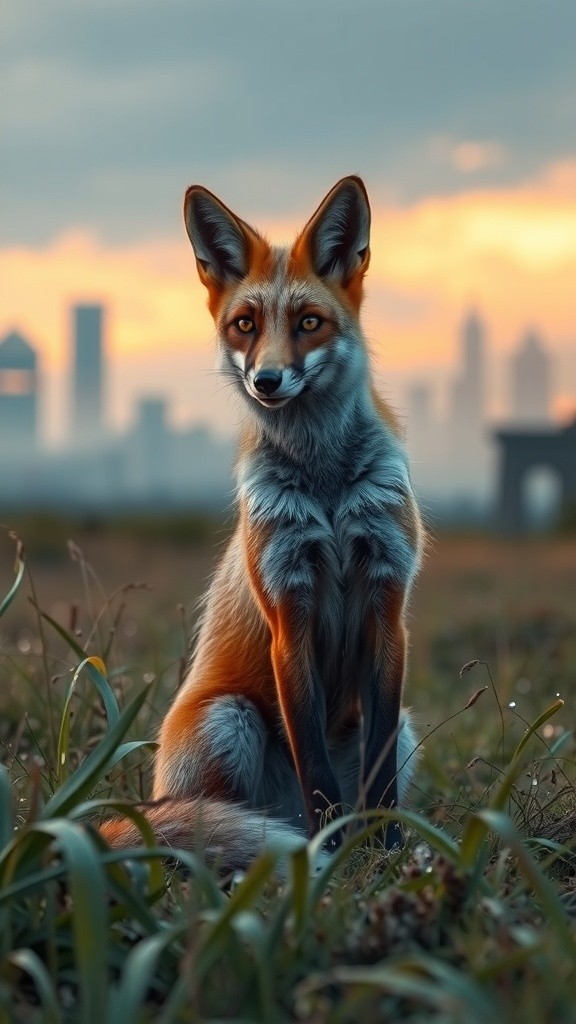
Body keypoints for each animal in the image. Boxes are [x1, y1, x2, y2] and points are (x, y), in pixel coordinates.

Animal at [100, 175, 423, 869]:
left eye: (309, 323)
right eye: (245, 325)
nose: (266, 380)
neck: (328, 493)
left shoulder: (388, 601)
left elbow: (377, 778)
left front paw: (383, 853)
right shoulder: (287, 609)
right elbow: (318, 773)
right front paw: (335, 860)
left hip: (408, 728)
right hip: (231, 720)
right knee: (223, 823)